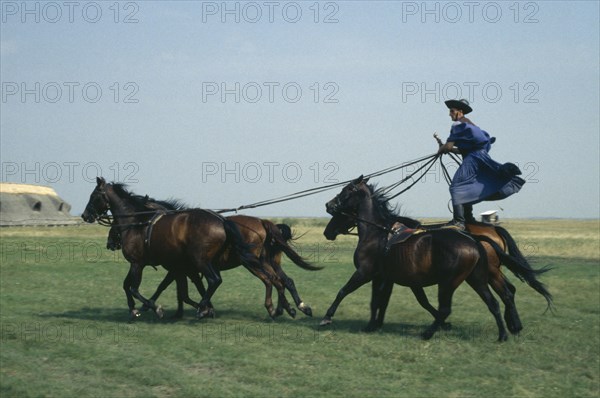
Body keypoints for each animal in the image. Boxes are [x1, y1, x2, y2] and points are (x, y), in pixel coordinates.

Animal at [81, 177, 262, 320]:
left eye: (93, 196)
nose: (84, 215)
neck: (137, 222)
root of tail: (221, 220)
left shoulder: (138, 263)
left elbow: (134, 288)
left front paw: (155, 308)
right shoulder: (165, 267)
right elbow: (128, 286)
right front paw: (134, 309)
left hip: (200, 260)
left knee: (214, 280)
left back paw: (202, 308)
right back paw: (204, 307)